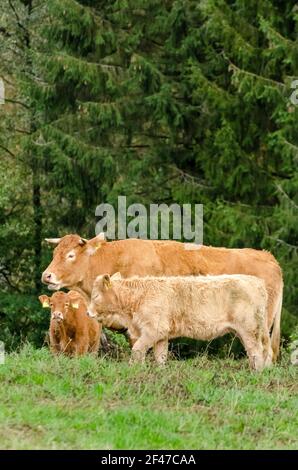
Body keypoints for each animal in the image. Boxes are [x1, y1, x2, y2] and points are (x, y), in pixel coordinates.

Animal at [86, 272, 272, 370]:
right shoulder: (161, 335)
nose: (88, 312)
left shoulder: (153, 330)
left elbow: (137, 348)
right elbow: (160, 356)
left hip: (249, 329)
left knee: (256, 351)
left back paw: (256, 372)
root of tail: (256, 281)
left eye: (95, 296)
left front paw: (132, 367)